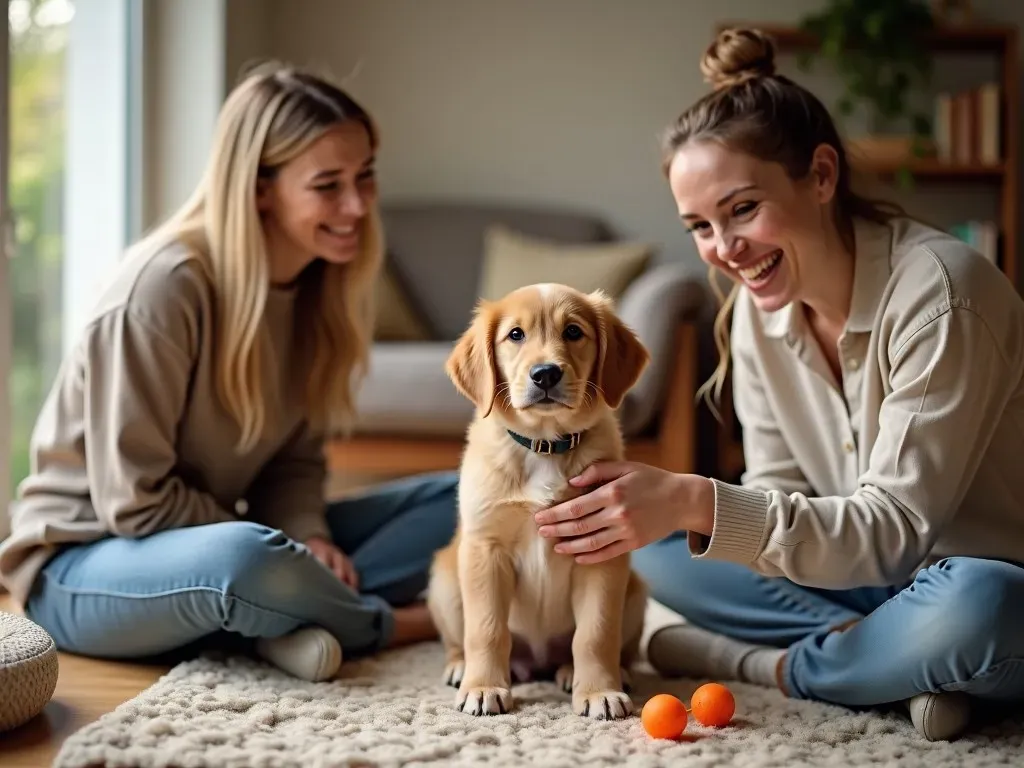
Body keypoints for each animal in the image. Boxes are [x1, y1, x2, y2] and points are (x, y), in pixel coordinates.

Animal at [428, 282, 651, 720]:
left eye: (574, 332)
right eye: (515, 335)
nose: (545, 373)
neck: (544, 445)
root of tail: (537, 661)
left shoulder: (601, 550)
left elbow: (596, 633)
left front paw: (600, 692)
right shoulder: (485, 548)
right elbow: (486, 629)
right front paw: (483, 687)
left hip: (635, 589)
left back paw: (595, 672)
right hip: (445, 579)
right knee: (460, 639)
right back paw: (460, 667)